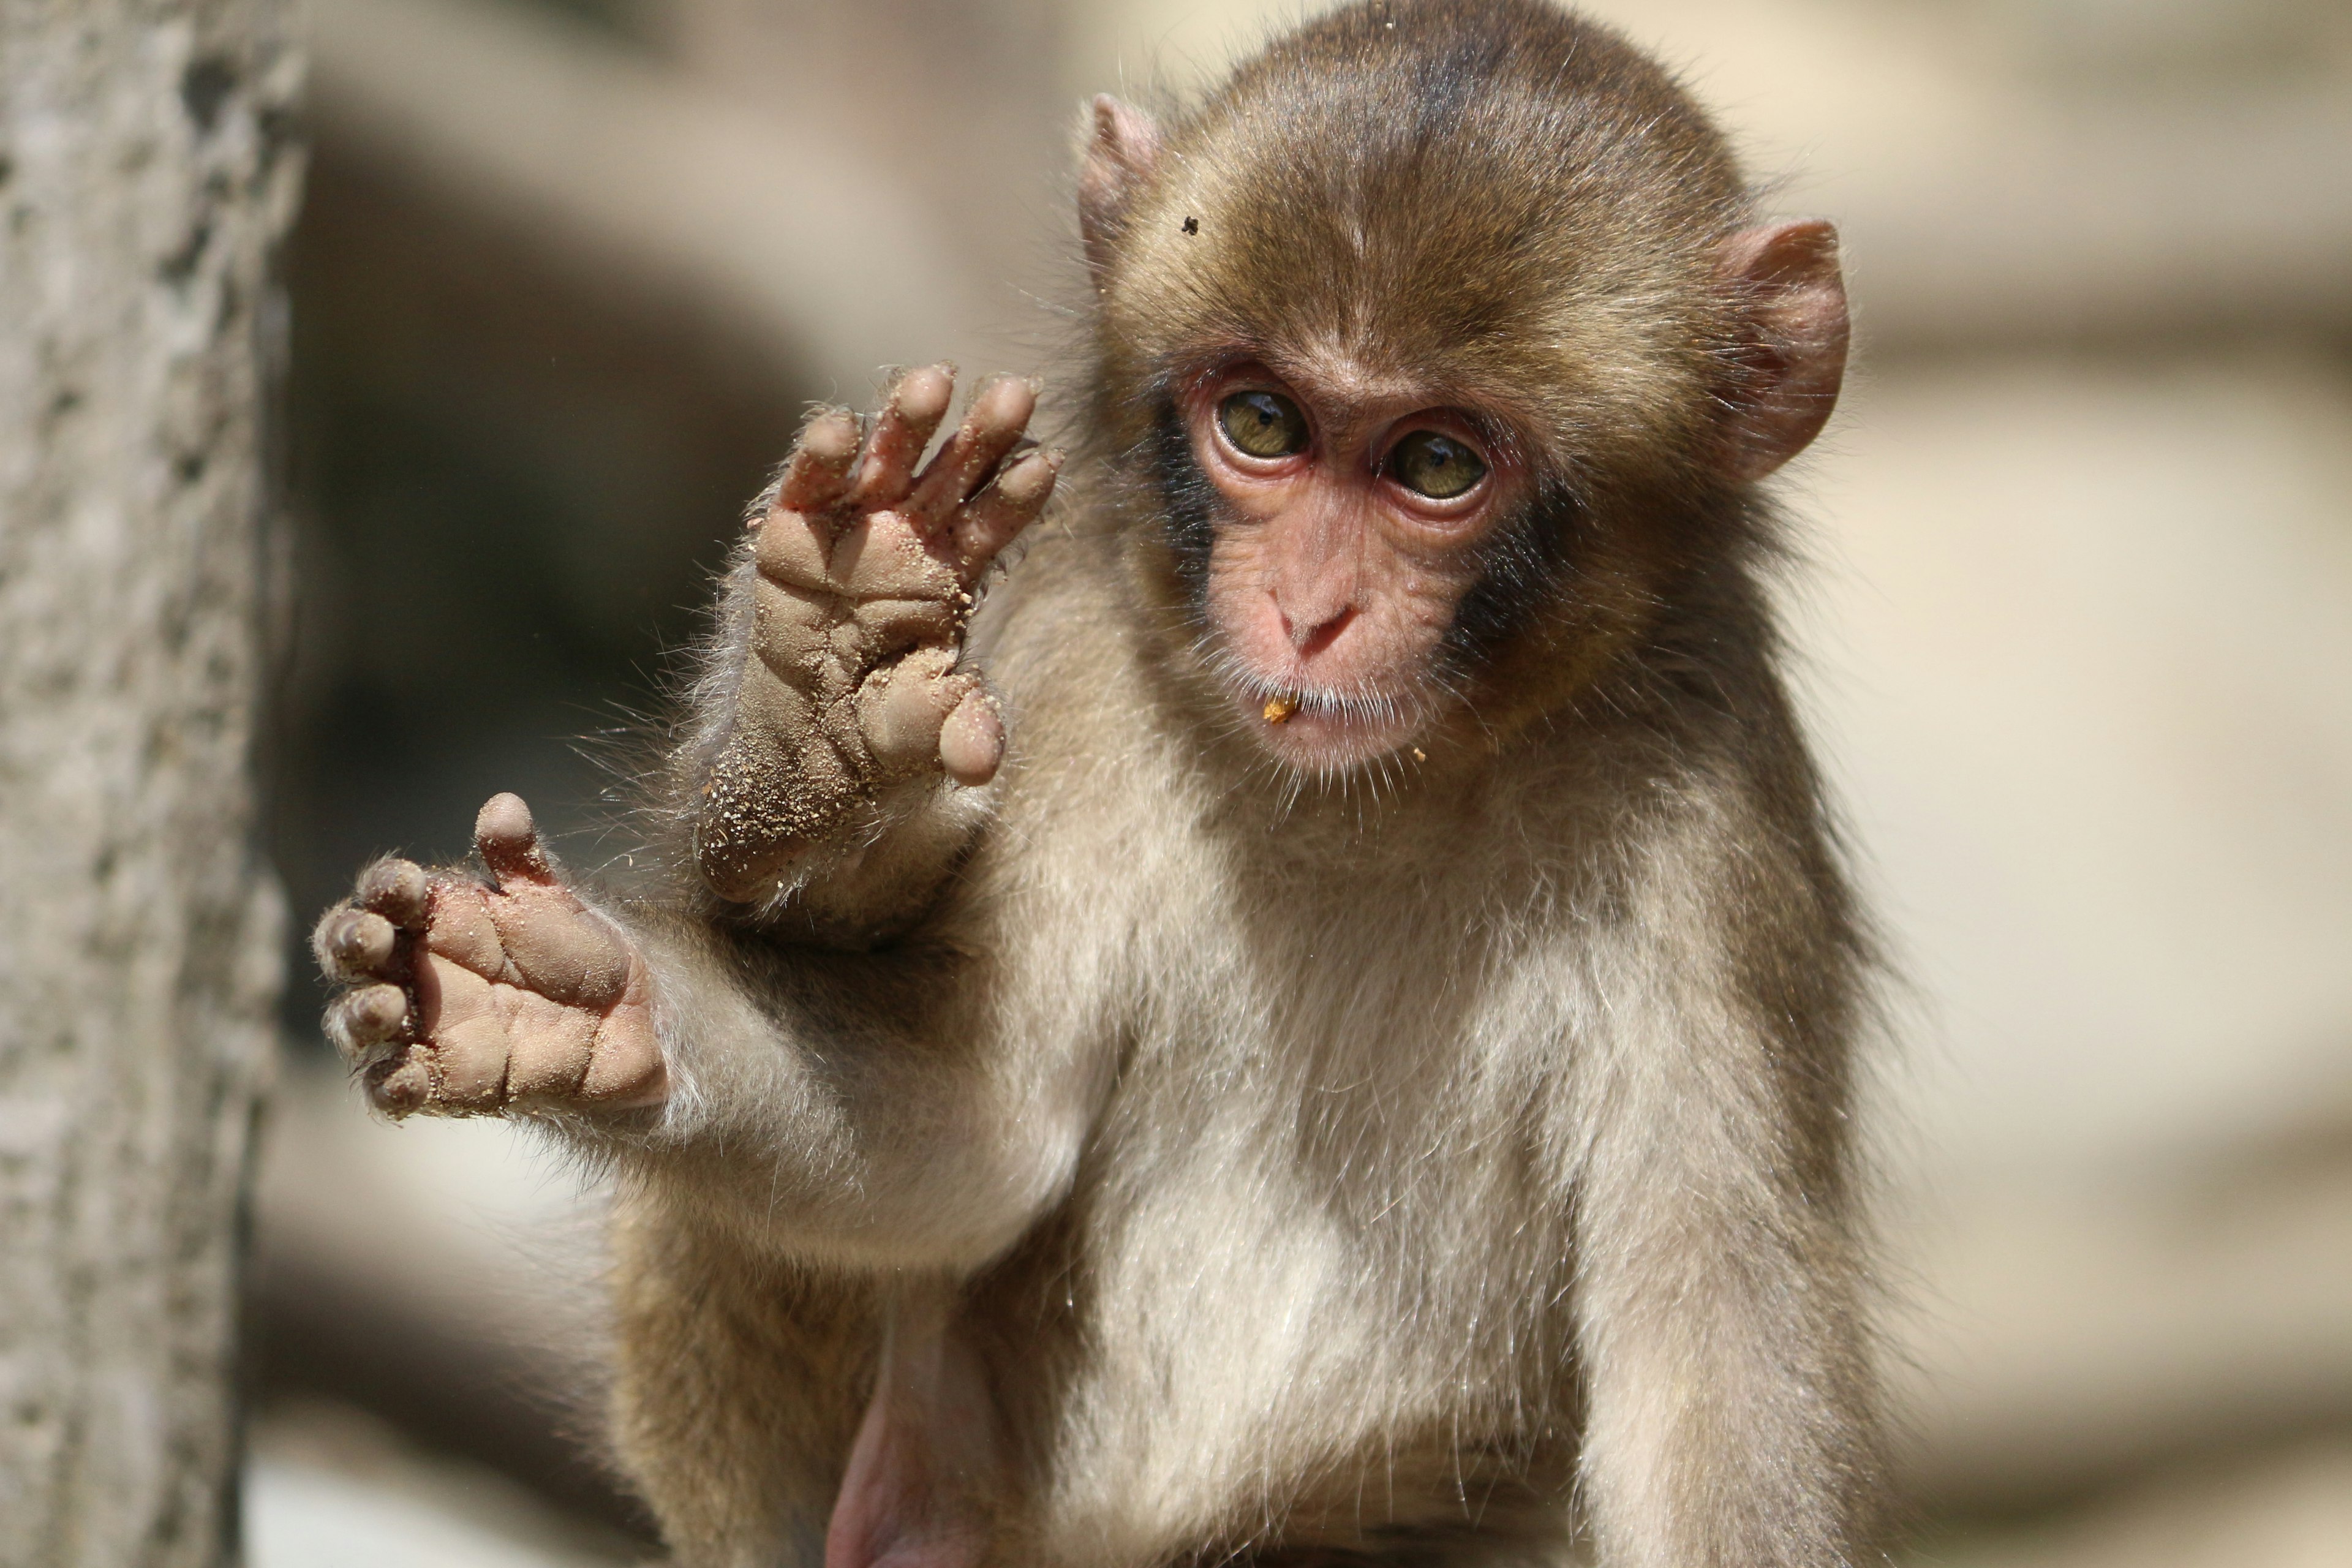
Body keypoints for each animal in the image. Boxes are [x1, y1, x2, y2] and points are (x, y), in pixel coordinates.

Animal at [317, 3, 1891, 1568]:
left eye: (1437, 462)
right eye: (1262, 425)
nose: (1308, 613)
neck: (1380, 793)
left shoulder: (1703, 809)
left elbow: (1703, 1375)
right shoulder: (1088, 671)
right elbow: (976, 1139)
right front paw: (599, 978)